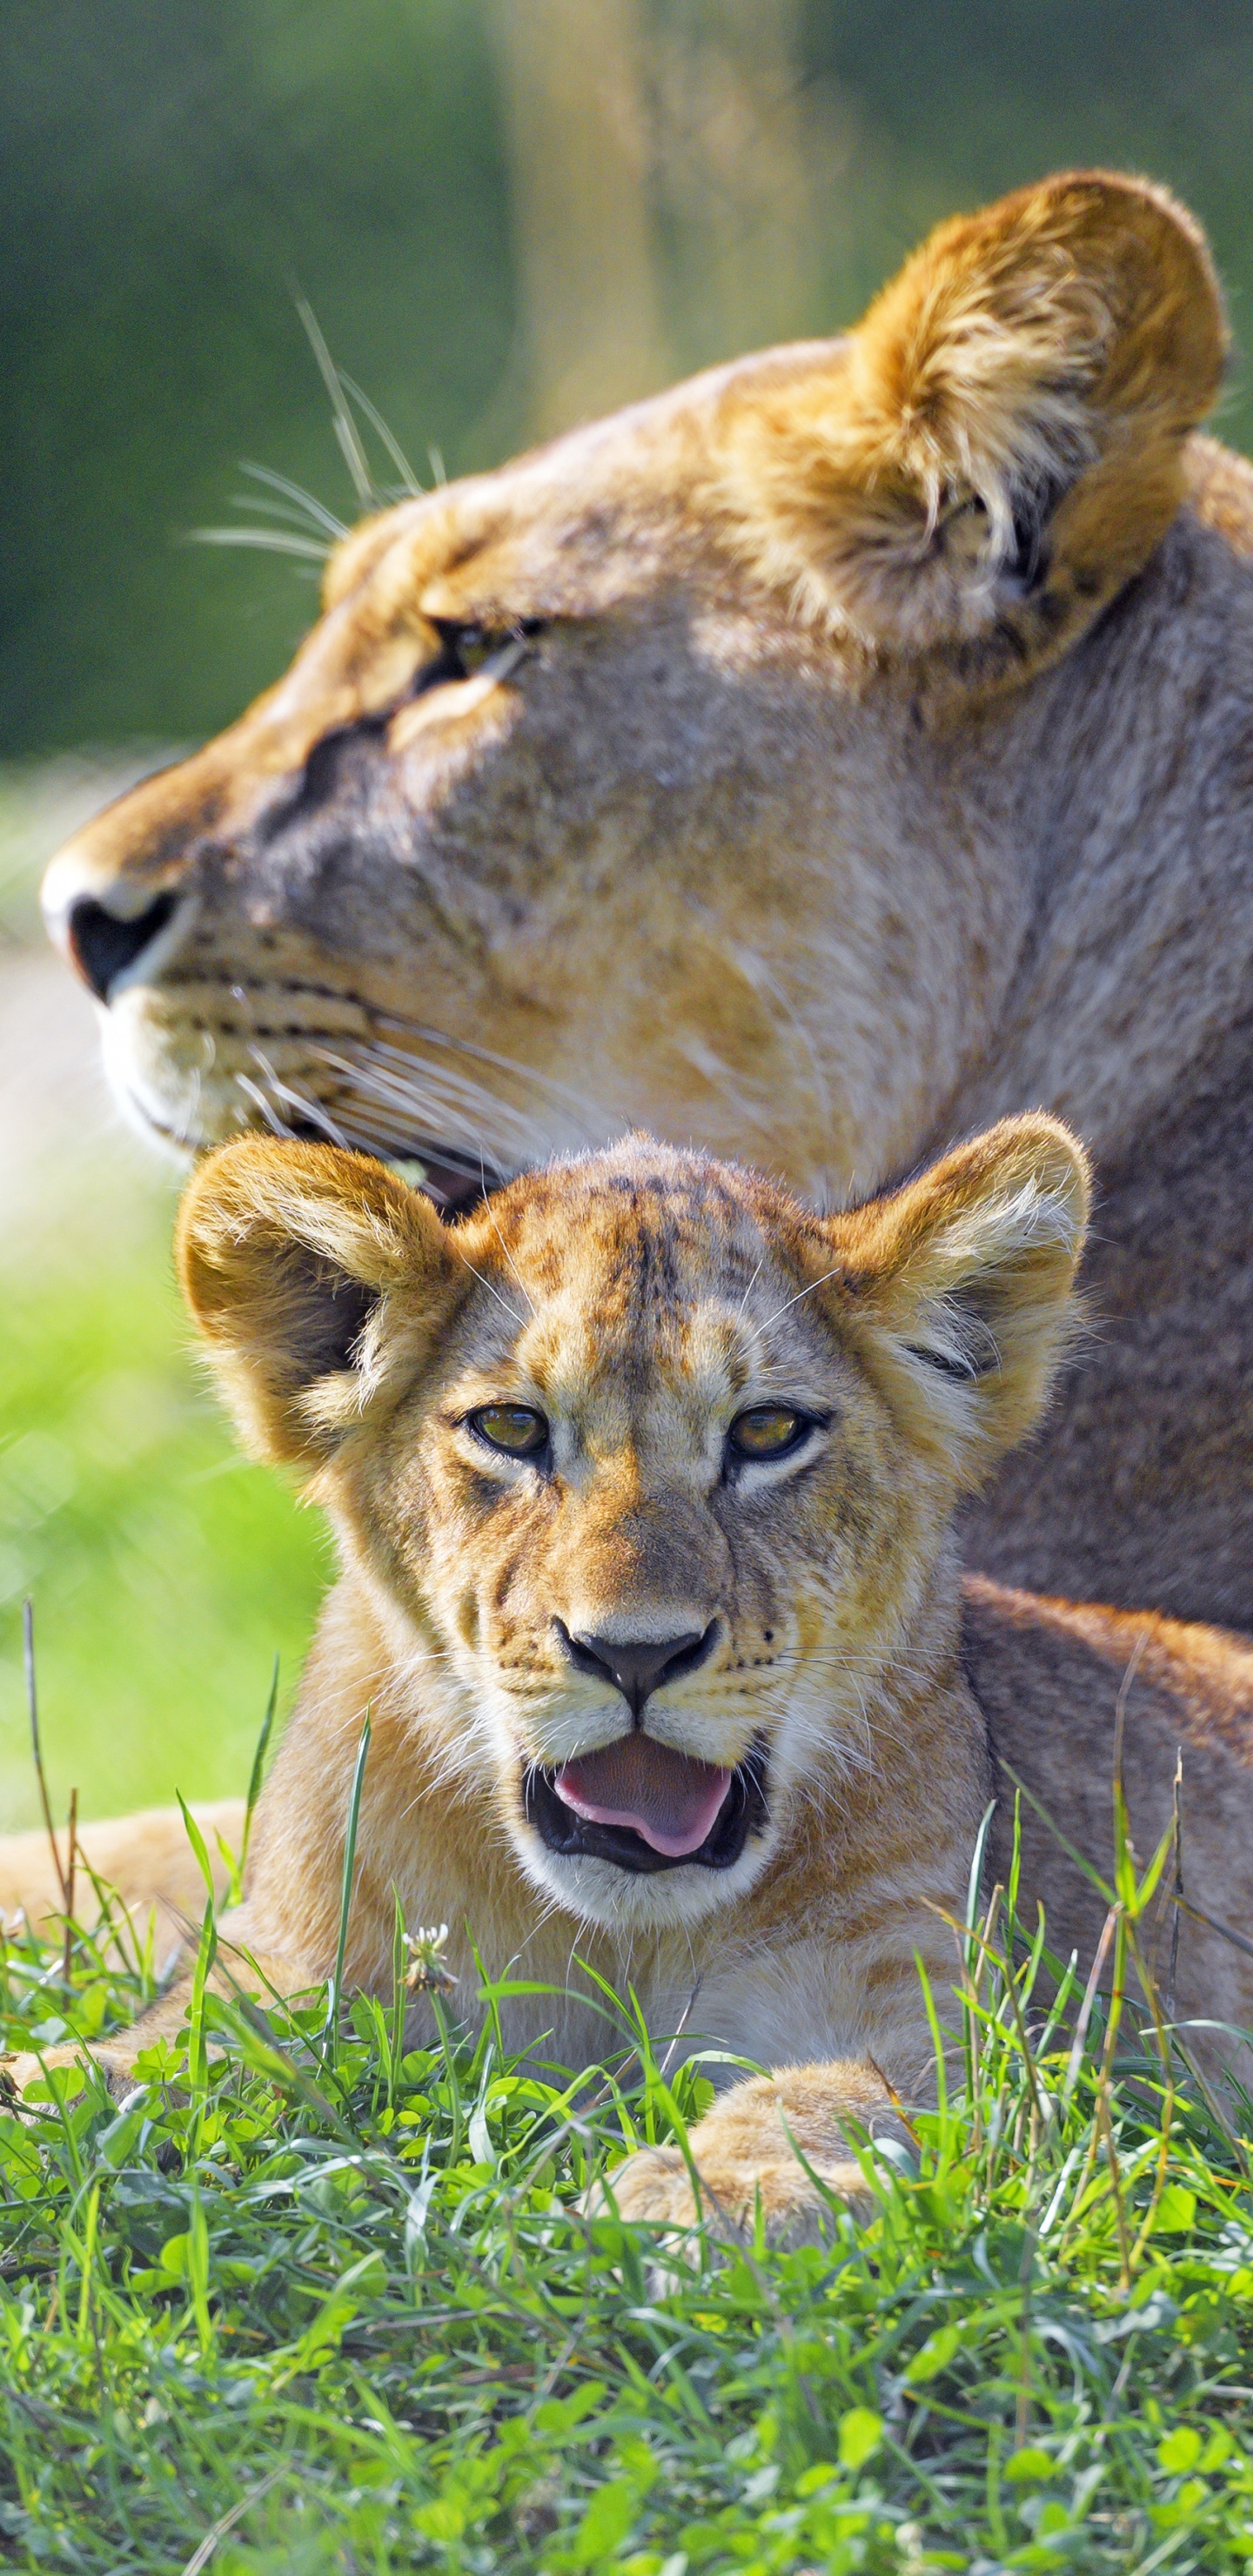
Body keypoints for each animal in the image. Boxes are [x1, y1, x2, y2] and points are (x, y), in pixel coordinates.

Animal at [10, 1120, 1253, 2238]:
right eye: (512, 1427)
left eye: (768, 1429)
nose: (635, 1653)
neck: (621, 1939)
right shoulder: (296, 1968)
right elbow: (143, 2055)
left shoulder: (956, 2034)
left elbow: (830, 2101)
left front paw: (705, 2197)